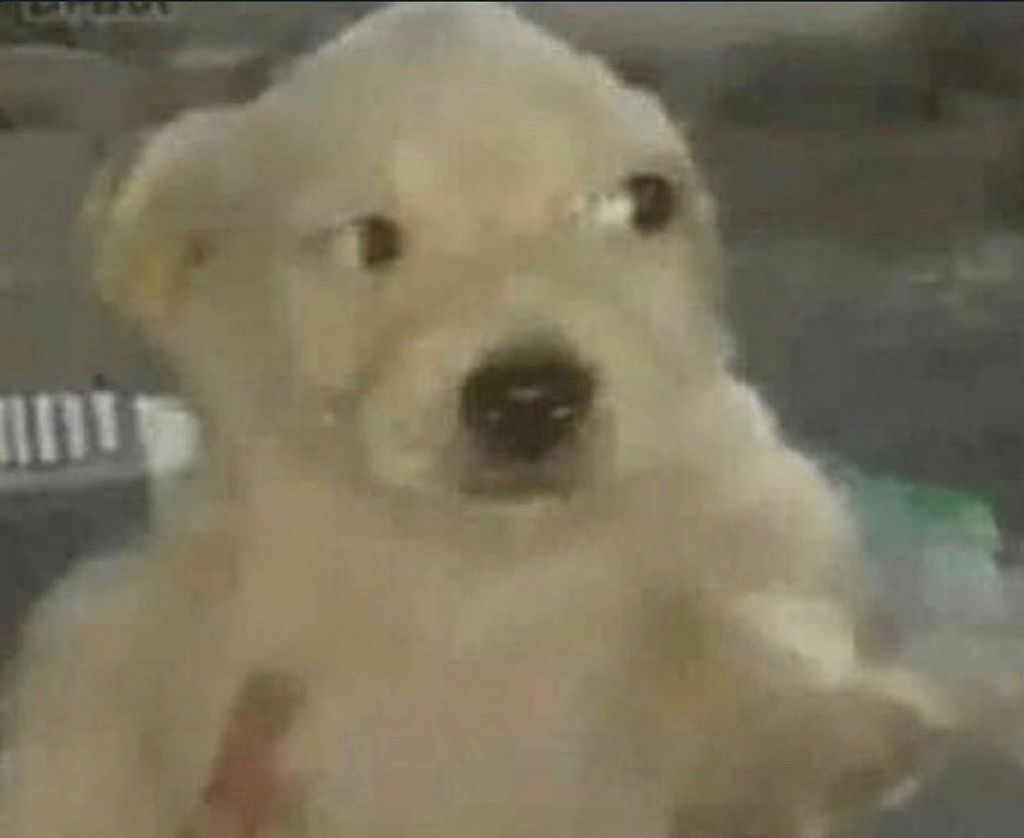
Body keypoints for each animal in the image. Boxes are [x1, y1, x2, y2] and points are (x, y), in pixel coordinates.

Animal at [0, 4, 952, 836]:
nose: (530, 397)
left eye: (641, 202)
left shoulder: (735, 523)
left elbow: (756, 624)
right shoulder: (191, 609)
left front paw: (831, 726)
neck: (479, 580)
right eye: (368, 240)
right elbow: (95, 678)